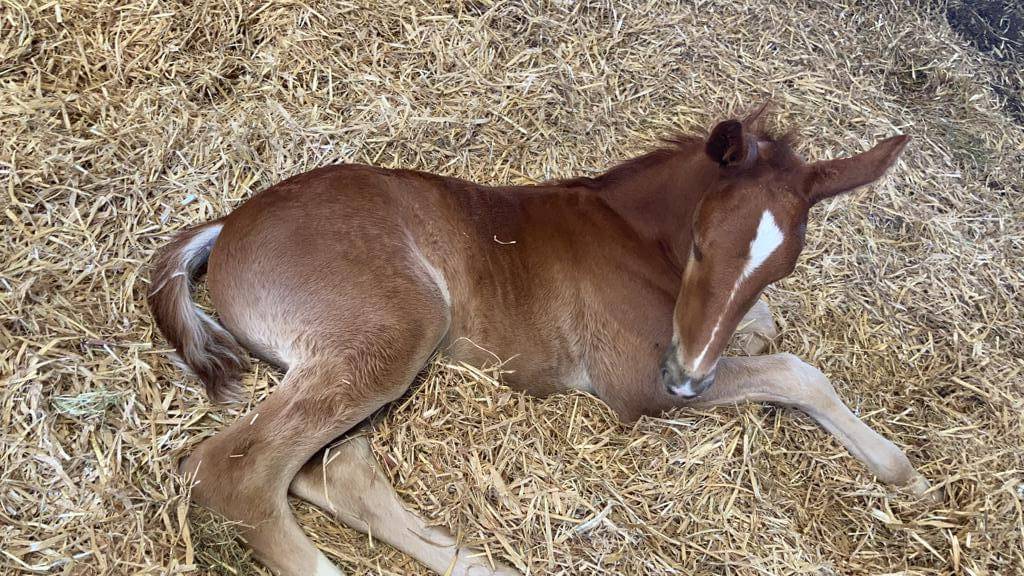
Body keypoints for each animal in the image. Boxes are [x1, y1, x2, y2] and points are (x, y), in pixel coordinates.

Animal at [149, 105, 929, 569]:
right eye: (702, 245)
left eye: (782, 265)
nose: (688, 377)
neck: (635, 238)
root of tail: (229, 225)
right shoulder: (635, 383)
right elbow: (797, 368)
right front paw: (899, 467)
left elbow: (768, 331)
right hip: (398, 332)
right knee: (232, 470)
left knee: (336, 469)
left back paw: (476, 563)